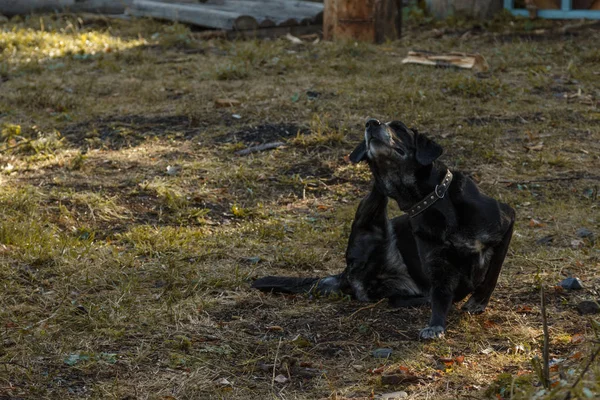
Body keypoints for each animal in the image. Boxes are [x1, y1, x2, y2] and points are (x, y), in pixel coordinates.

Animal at [253, 117, 516, 340]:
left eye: (399, 127)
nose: (371, 122)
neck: (433, 200)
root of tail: (346, 273)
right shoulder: (438, 266)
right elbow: (441, 296)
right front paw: (436, 325)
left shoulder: (507, 221)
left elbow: (493, 270)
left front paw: (478, 300)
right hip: (373, 224)